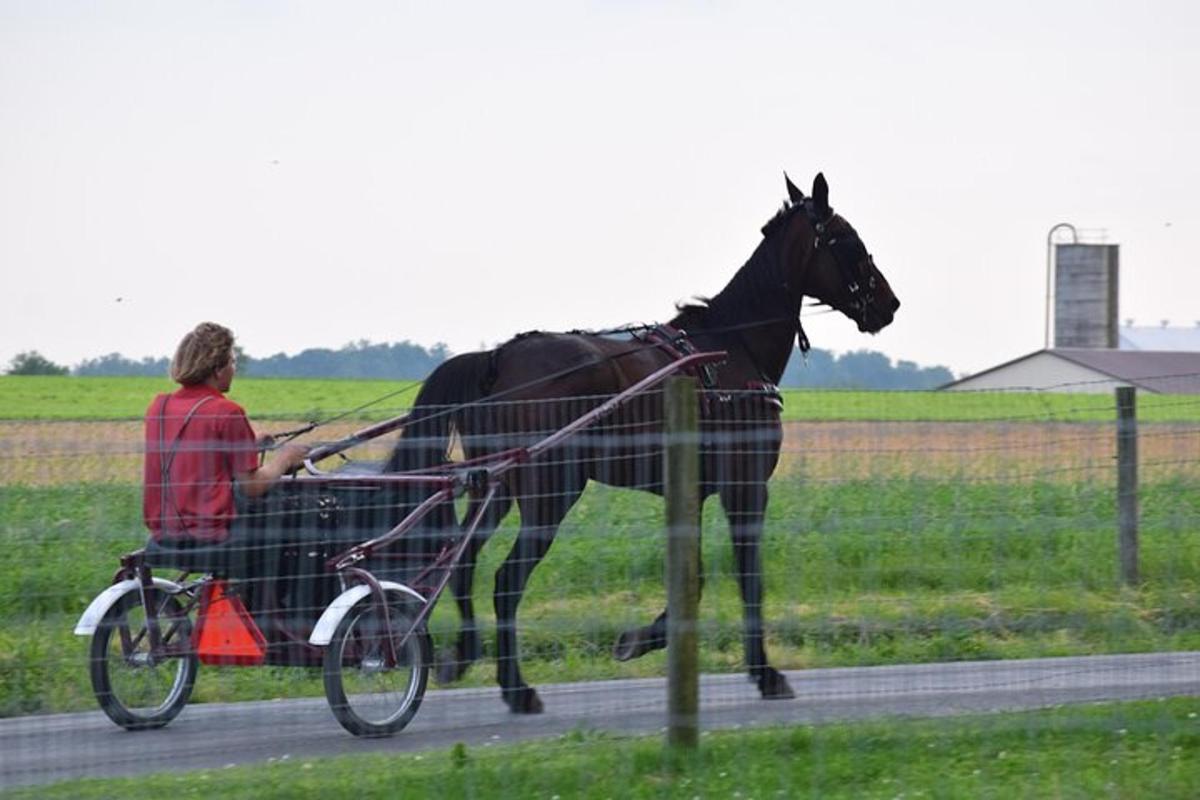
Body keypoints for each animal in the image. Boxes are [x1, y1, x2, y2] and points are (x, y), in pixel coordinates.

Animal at [384, 175, 902, 714]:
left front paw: (643, 637)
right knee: (506, 581)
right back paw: (516, 687)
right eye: (848, 240)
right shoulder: (745, 487)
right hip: (549, 492)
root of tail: (498, 358)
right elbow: (748, 578)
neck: (731, 350)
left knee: (463, 562)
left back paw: (465, 655)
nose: (889, 304)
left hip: (497, 486)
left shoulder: (692, 491)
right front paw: (764, 673)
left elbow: (694, 577)